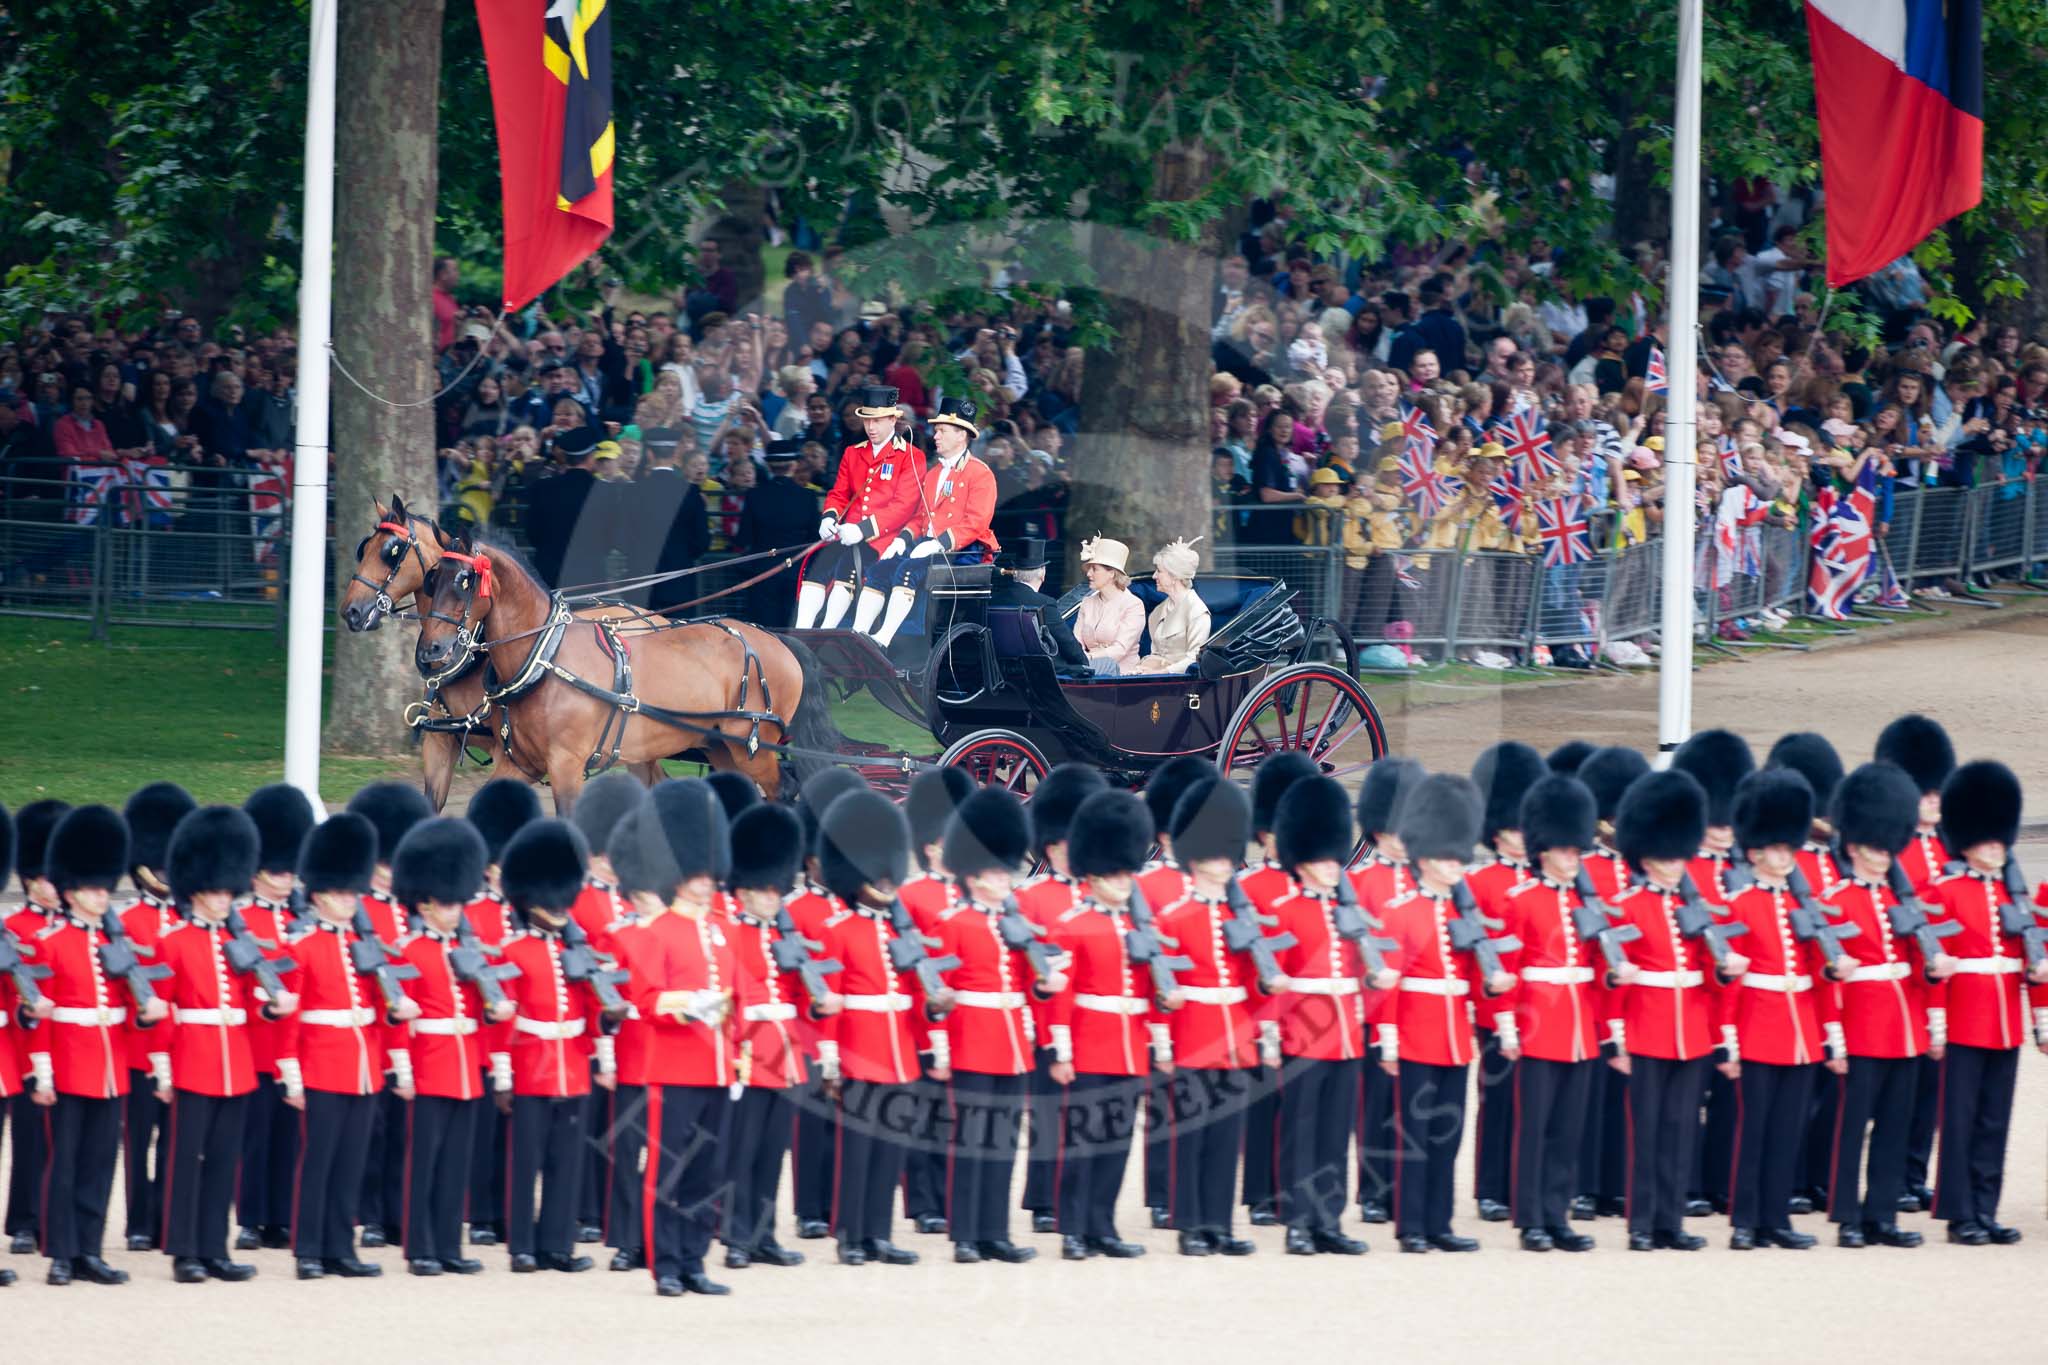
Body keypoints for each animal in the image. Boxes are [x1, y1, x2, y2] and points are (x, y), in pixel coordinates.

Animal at [411, 527, 835, 810]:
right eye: (432, 580)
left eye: (465, 581)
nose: (432, 650)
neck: (545, 658)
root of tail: (777, 640)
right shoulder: (521, 763)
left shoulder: (566, 765)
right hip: (720, 747)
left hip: (753, 746)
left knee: (783, 791)